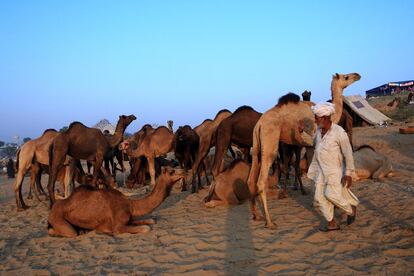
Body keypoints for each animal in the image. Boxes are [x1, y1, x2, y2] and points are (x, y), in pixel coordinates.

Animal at [47, 166, 184, 237]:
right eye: (171, 171)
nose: (183, 171)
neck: (130, 205)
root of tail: (52, 210)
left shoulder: (129, 218)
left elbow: (151, 220)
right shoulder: (118, 226)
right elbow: (146, 228)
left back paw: (83, 230)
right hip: (57, 218)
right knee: (66, 232)